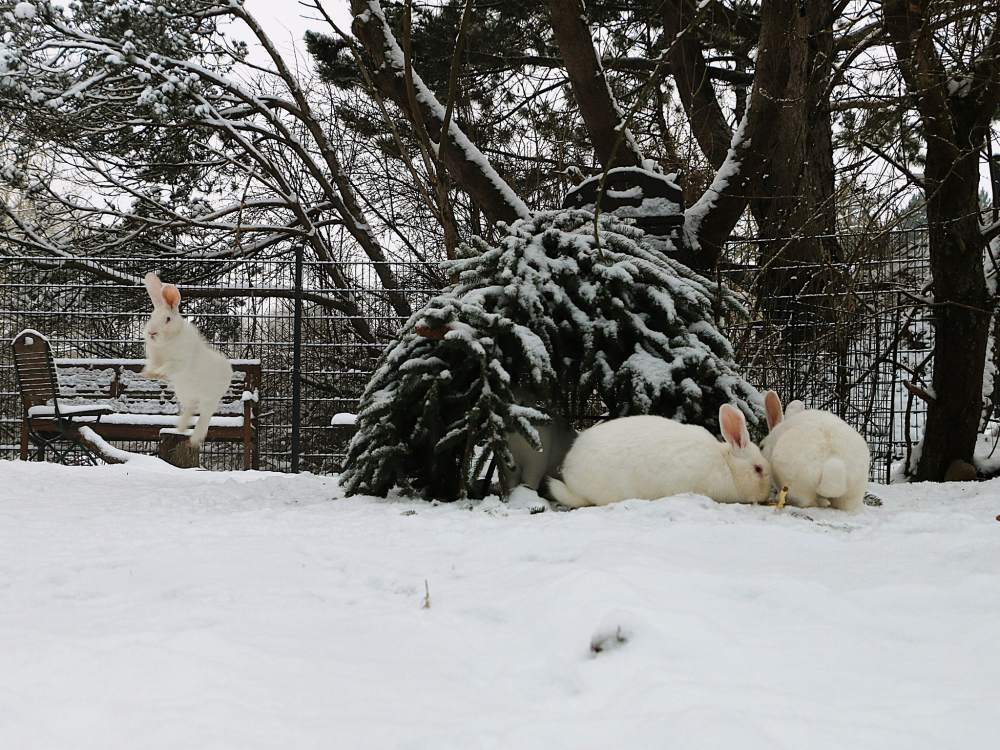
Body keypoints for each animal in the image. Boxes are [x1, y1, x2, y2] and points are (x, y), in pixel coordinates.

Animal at [141, 272, 233, 448]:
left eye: (168, 319)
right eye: (151, 317)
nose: (151, 333)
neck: (167, 342)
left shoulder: (179, 362)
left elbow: (168, 367)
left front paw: (158, 374)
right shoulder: (154, 358)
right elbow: (152, 365)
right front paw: (147, 374)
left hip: (209, 399)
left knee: (204, 417)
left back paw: (194, 440)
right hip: (186, 395)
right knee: (190, 411)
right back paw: (180, 429)